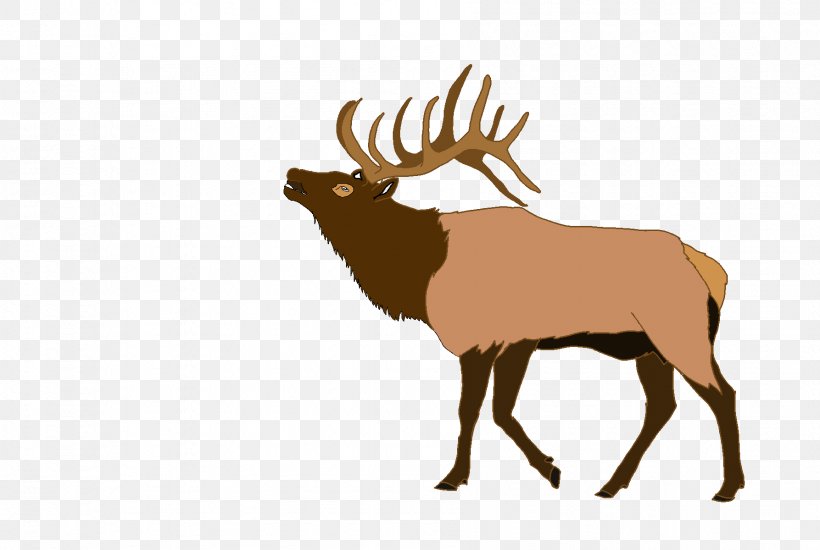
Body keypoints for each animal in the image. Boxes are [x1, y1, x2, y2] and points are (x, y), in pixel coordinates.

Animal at [283, 66, 744, 502]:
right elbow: (495, 411)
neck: (421, 273)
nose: (292, 171)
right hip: (648, 346)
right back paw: (612, 484)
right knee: (662, 406)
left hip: (680, 330)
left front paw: (470, 476)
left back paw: (727, 487)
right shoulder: (509, 342)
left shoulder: (496, 338)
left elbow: (479, 410)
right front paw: (546, 467)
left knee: (722, 393)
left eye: (344, 186)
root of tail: (712, 270)